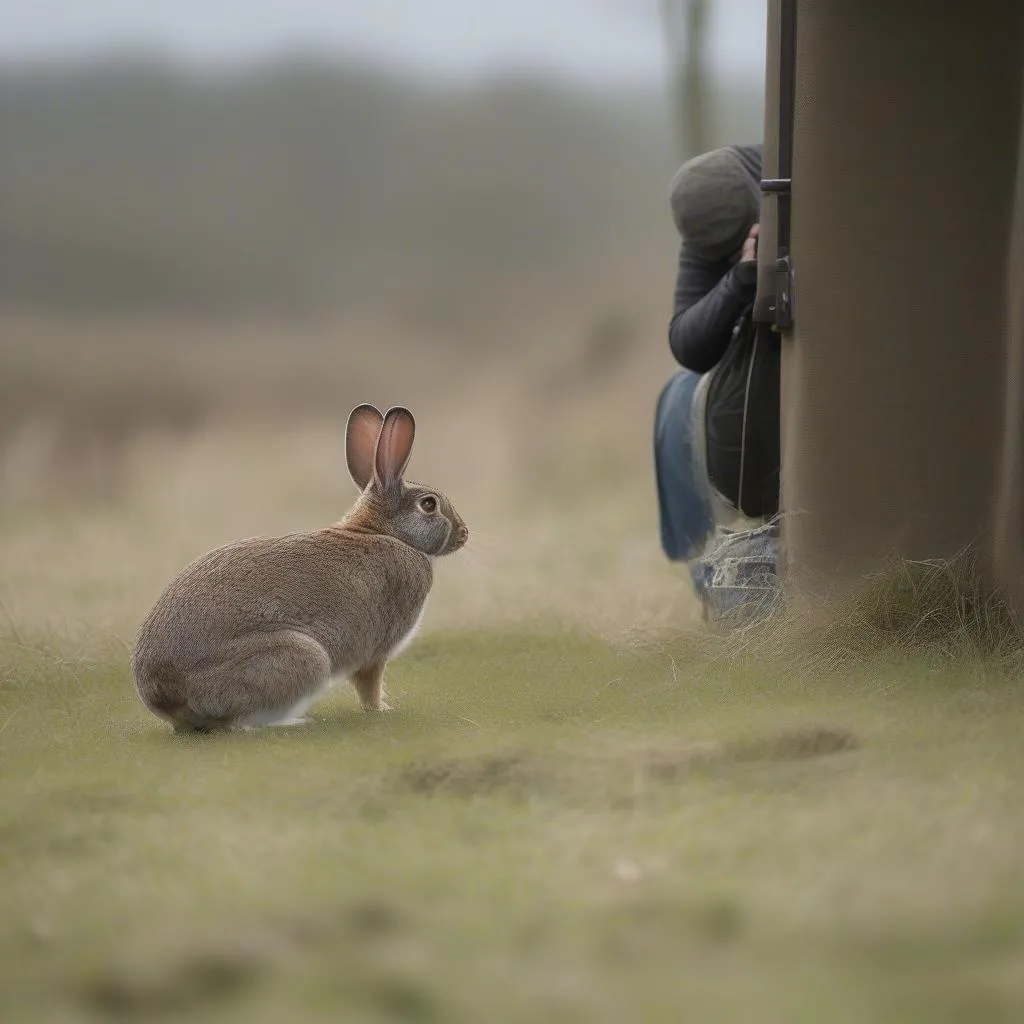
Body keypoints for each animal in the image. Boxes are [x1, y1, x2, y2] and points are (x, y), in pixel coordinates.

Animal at [130, 403, 468, 733]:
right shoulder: (376, 654)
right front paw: (382, 709)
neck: (382, 532)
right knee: (240, 724)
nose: (464, 533)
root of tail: (167, 695)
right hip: (304, 658)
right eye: (429, 505)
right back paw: (295, 721)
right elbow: (369, 685)